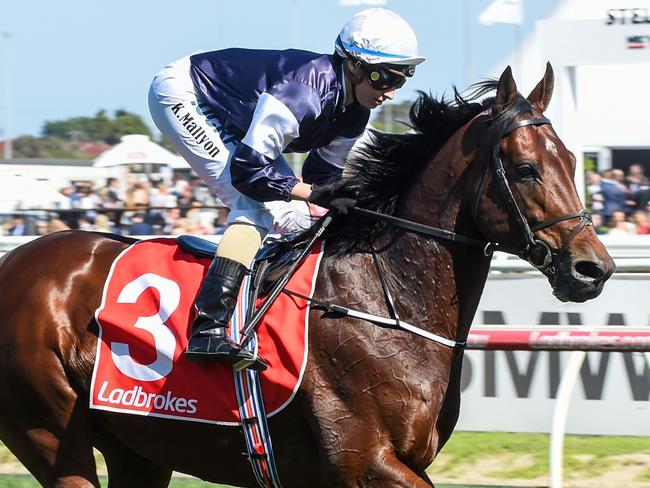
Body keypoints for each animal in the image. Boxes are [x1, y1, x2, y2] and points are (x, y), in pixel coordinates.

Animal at [0, 65, 612, 488]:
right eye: (526, 169)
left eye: (573, 163)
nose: (593, 267)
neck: (384, 297)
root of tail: (13, 262)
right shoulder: (364, 462)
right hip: (53, 436)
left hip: (138, 449)